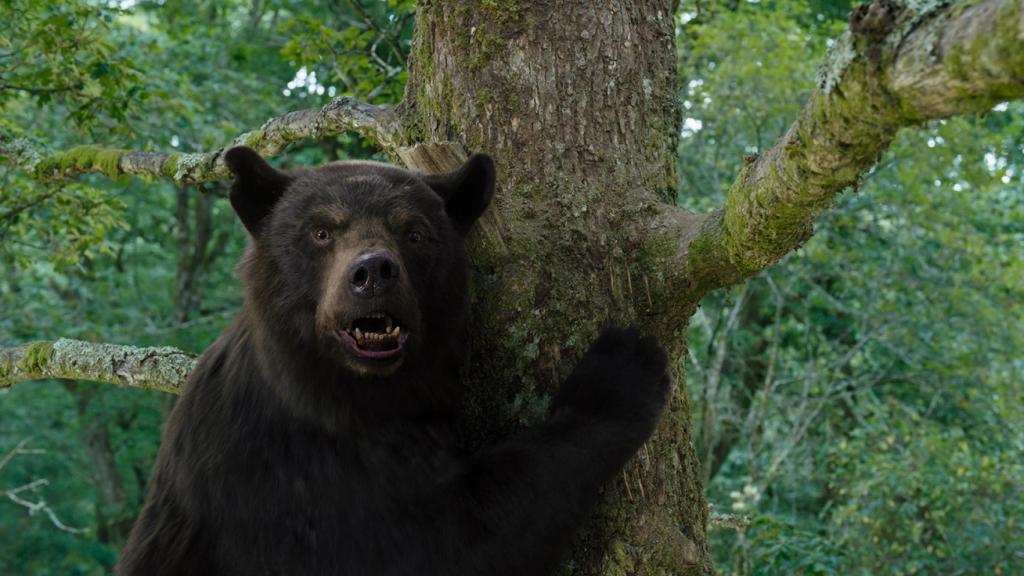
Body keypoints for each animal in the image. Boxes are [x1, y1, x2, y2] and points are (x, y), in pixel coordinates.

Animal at [117, 146, 671, 573]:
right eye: (321, 231)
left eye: (414, 232)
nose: (373, 273)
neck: (350, 395)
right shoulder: (285, 478)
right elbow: (443, 540)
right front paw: (619, 372)